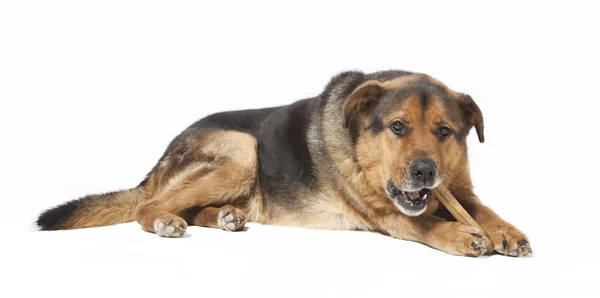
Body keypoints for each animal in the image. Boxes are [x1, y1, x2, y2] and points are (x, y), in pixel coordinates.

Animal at [37, 70, 532, 256]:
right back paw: (165, 220)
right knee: (149, 205)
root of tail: (158, 160)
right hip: (242, 150)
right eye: (397, 127)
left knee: (191, 208)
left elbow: (481, 208)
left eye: (445, 132)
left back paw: (226, 217)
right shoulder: (388, 214)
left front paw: (505, 231)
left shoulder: (458, 189)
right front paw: (461, 235)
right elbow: (427, 222)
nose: (426, 172)